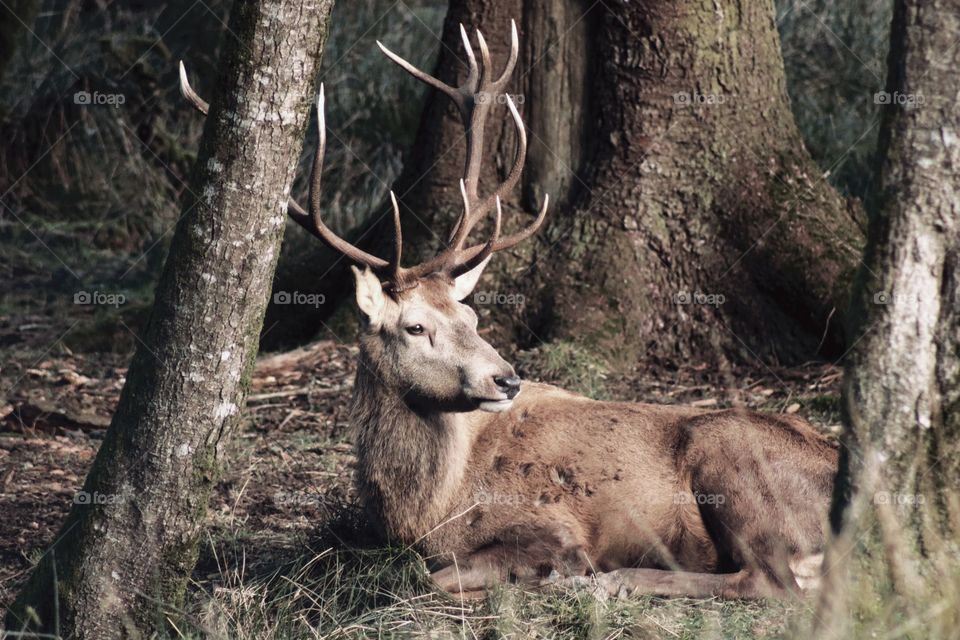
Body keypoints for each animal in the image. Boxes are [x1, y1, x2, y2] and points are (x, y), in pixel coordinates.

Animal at [179, 20, 839, 600]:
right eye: (415, 326)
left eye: (472, 319)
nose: (507, 378)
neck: (427, 510)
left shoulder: (553, 525)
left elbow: (429, 578)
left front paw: (555, 578)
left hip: (734, 462)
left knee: (772, 580)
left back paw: (618, 582)